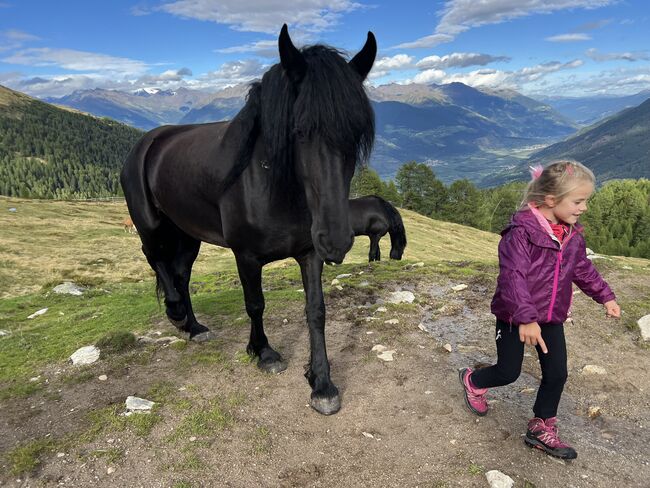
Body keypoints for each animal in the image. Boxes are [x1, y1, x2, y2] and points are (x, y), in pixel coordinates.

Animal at [120, 25, 374, 416]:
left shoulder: (309, 254)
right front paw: (264, 352)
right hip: (150, 225)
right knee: (156, 259)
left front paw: (322, 383)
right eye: (299, 130)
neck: (270, 184)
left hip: (188, 235)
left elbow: (316, 311)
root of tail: (146, 143)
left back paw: (195, 327)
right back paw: (176, 312)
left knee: (180, 272)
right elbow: (255, 303)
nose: (335, 241)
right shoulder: (246, 256)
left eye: (356, 134)